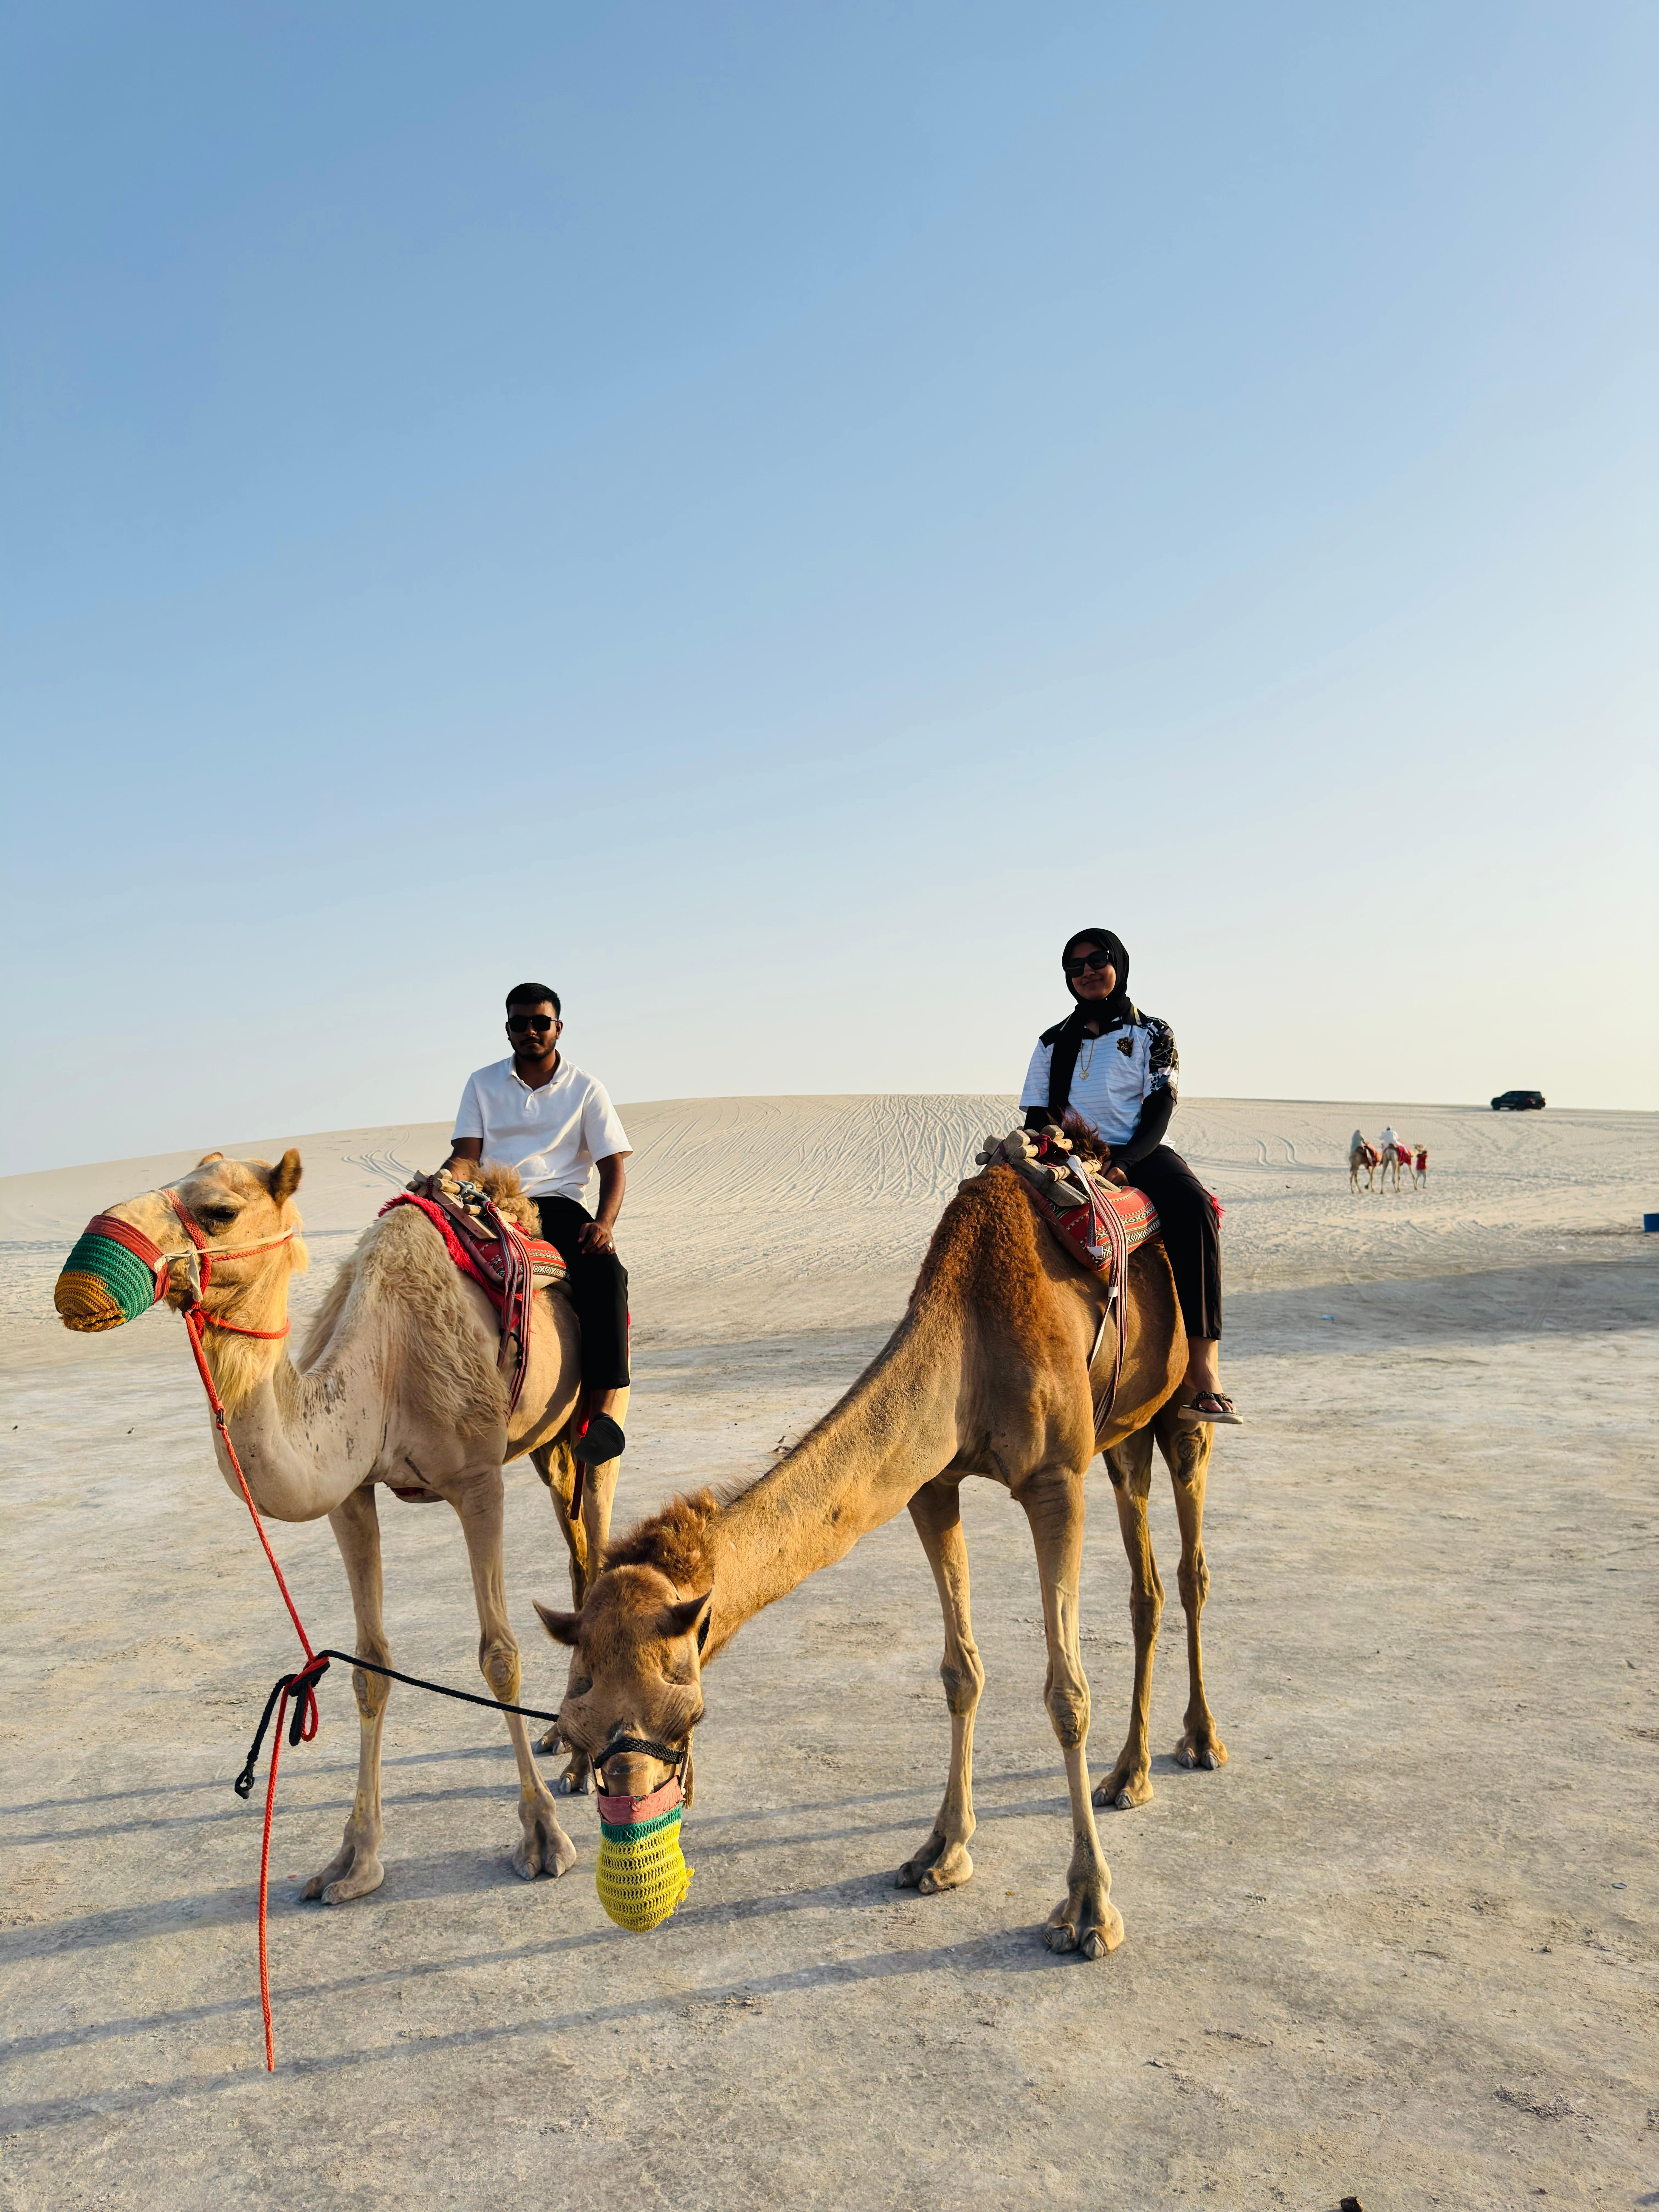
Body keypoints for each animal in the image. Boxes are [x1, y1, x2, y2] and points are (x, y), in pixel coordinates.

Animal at [53, 1150, 625, 1902]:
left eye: (220, 1211)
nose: (80, 1283)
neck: (384, 1366)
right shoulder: (351, 1495)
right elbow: (368, 1668)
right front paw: (353, 1862)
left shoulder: (478, 1479)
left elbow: (499, 1656)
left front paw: (542, 1838)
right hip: (545, 1445)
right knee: (579, 1550)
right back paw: (565, 1736)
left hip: (592, 1418)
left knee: (599, 1536)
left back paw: (586, 1762)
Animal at [537, 1158, 1223, 1962]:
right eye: (574, 1726)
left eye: (688, 1716)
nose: (628, 1827)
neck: (972, 1339)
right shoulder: (930, 1482)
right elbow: (961, 1672)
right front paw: (941, 1854)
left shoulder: (1056, 1480)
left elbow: (1067, 1694)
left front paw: (1088, 1906)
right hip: (1124, 1435)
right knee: (1145, 1589)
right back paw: (1128, 1775)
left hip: (1178, 1413)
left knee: (1190, 1571)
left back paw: (1200, 1742)